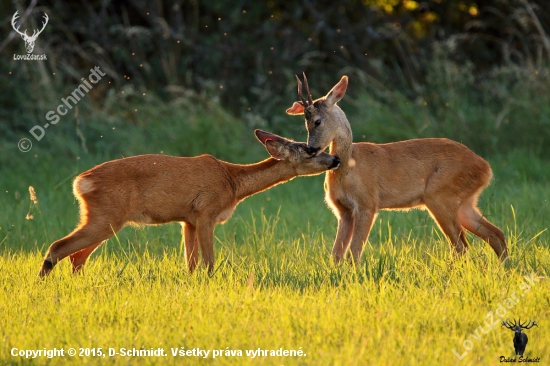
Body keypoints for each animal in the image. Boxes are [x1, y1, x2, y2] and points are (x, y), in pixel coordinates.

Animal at [37, 130, 340, 276]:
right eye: (311, 150)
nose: (336, 159)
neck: (232, 183)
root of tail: (81, 182)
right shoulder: (206, 212)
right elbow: (208, 261)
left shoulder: (188, 220)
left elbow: (191, 264)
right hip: (106, 217)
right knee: (58, 248)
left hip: (104, 220)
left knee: (76, 257)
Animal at [286, 73, 512, 264]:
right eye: (305, 124)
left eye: (317, 121)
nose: (311, 148)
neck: (348, 166)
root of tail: (485, 167)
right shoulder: (343, 210)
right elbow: (336, 254)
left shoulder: (367, 203)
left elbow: (354, 252)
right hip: (464, 202)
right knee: (495, 234)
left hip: (440, 196)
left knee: (461, 246)